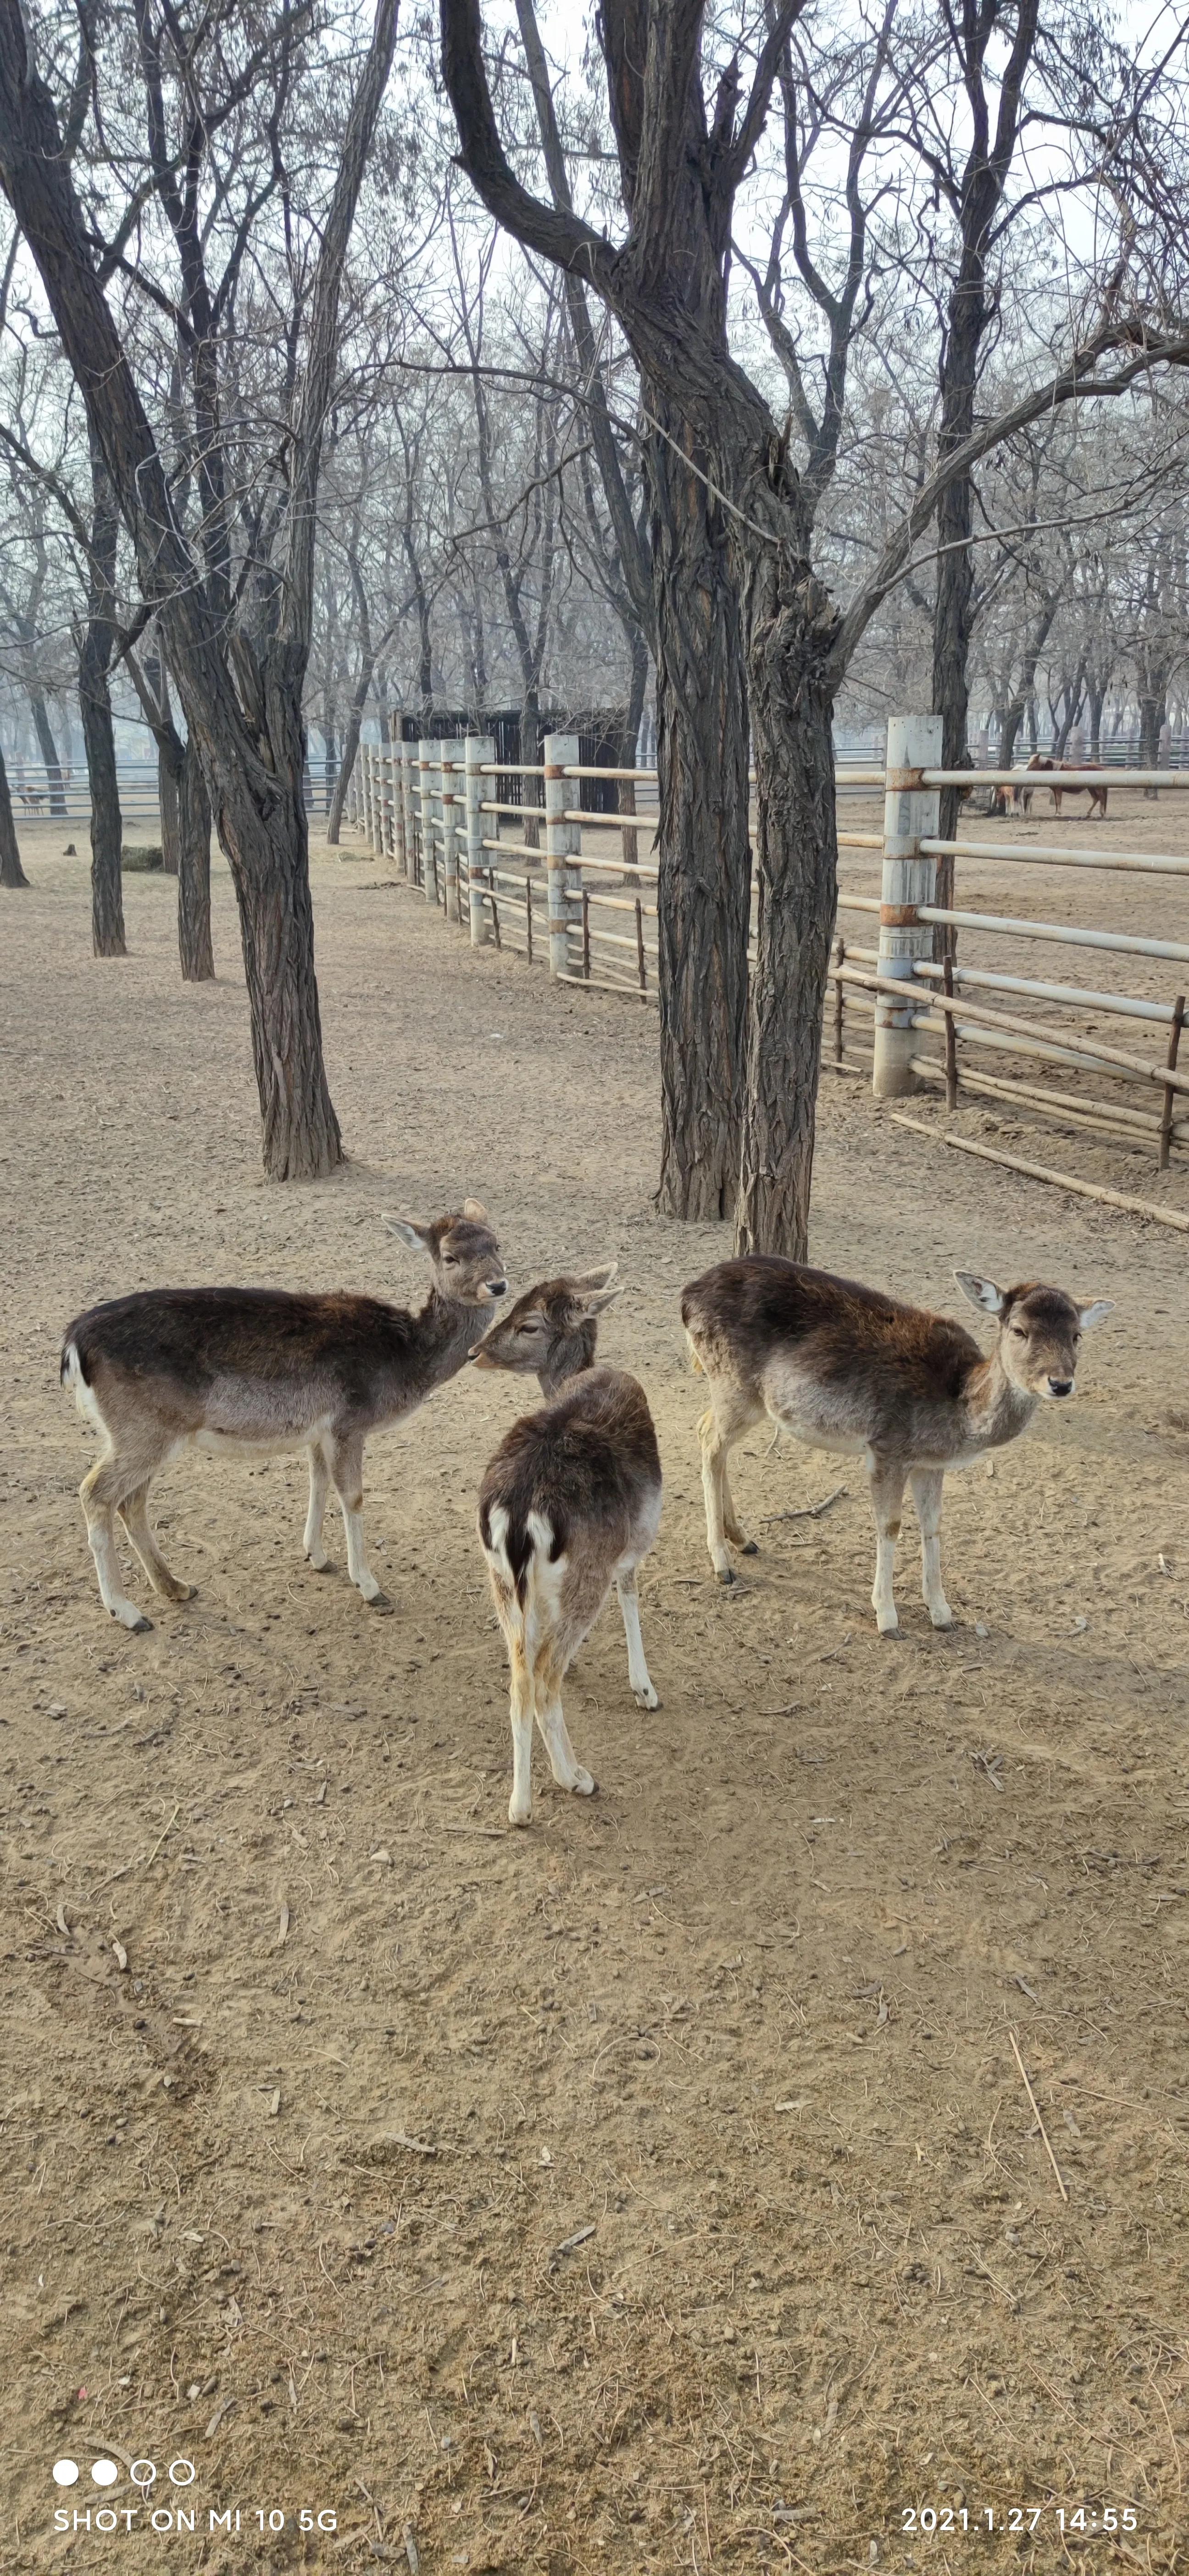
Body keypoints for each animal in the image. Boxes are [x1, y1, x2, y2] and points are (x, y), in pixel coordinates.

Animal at [60, 1195, 509, 1617]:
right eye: (450, 1257)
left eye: (497, 1243)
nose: (498, 1285)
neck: (404, 1357)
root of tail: (73, 1343)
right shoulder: (349, 1421)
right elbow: (353, 1496)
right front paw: (368, 1585)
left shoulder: (318, 1429)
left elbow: (318, 1481)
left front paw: (317, 1556)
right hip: (143, 1429)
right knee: (96, 1493)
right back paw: (126, 1611)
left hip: (147, 1432)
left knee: (131, 1501)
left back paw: (175, 1587)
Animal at [471, 1267, 659, 1834]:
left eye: (528, 1322)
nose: (474, 1350)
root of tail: (518, 1509)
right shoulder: (636, 1539)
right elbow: (632, 1593)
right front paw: (646, 1689)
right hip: (583, 1575)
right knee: (544, 1680)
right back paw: (574, 1777)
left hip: (499, 1580)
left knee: (520, 1677)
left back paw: (519, 1806)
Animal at [684, 1262, 1111, 1638]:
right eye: (1020, 1330)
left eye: (1077, 1335)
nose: (1060, 1383)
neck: (958, 1410)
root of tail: (687, 1295)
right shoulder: (887, 1448)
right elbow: (889, 1526)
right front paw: (888, 1618)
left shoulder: (930, 1463)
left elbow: (933, 1524)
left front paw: (942, 1613)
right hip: (735, 1385)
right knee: (707, 1438)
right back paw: (722, 1563)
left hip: (744, 1396)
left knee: (713, 1440)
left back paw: (743, 1539)